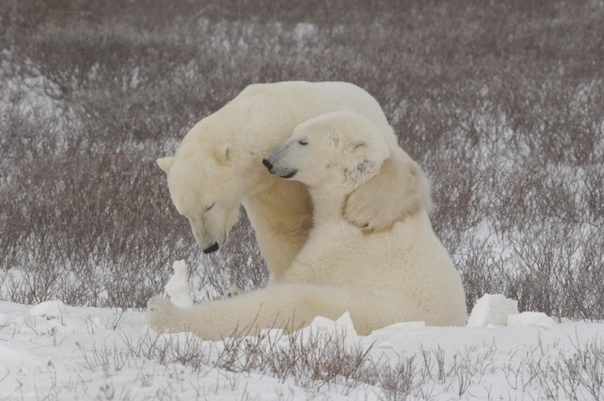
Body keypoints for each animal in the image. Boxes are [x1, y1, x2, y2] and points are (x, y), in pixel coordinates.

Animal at [146, 111, 468, 340]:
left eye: (303, 141)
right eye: (292, 132)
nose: (268, 161)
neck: (347, 198)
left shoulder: (344, 246)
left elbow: (297, 278)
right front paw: (233, 290)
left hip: (371, 310)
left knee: (294, 303)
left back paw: (163, 312)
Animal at [156, 81, 430, 282]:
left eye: (209, 205)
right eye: (184, 213)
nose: (209, 246)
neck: (275, 114)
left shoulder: (323, 119)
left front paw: (367, 210)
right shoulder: (267, 186)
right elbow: (284, 231)